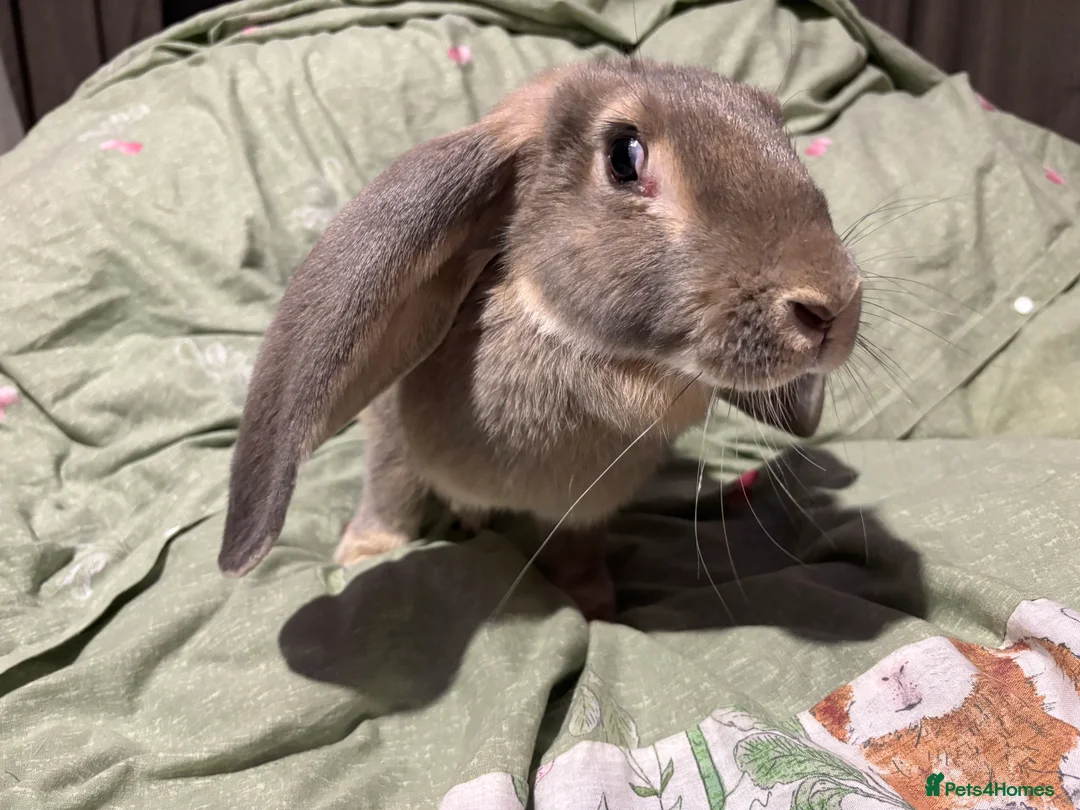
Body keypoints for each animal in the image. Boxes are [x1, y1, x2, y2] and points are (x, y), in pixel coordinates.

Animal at [217, 58, 863, 621]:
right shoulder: (392, 443)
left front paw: (593, 604)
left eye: (778, 129)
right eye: (624, 155)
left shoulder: (583, 511)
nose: (834, 303)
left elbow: (576, 550)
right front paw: (365, 553)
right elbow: (390, 490)